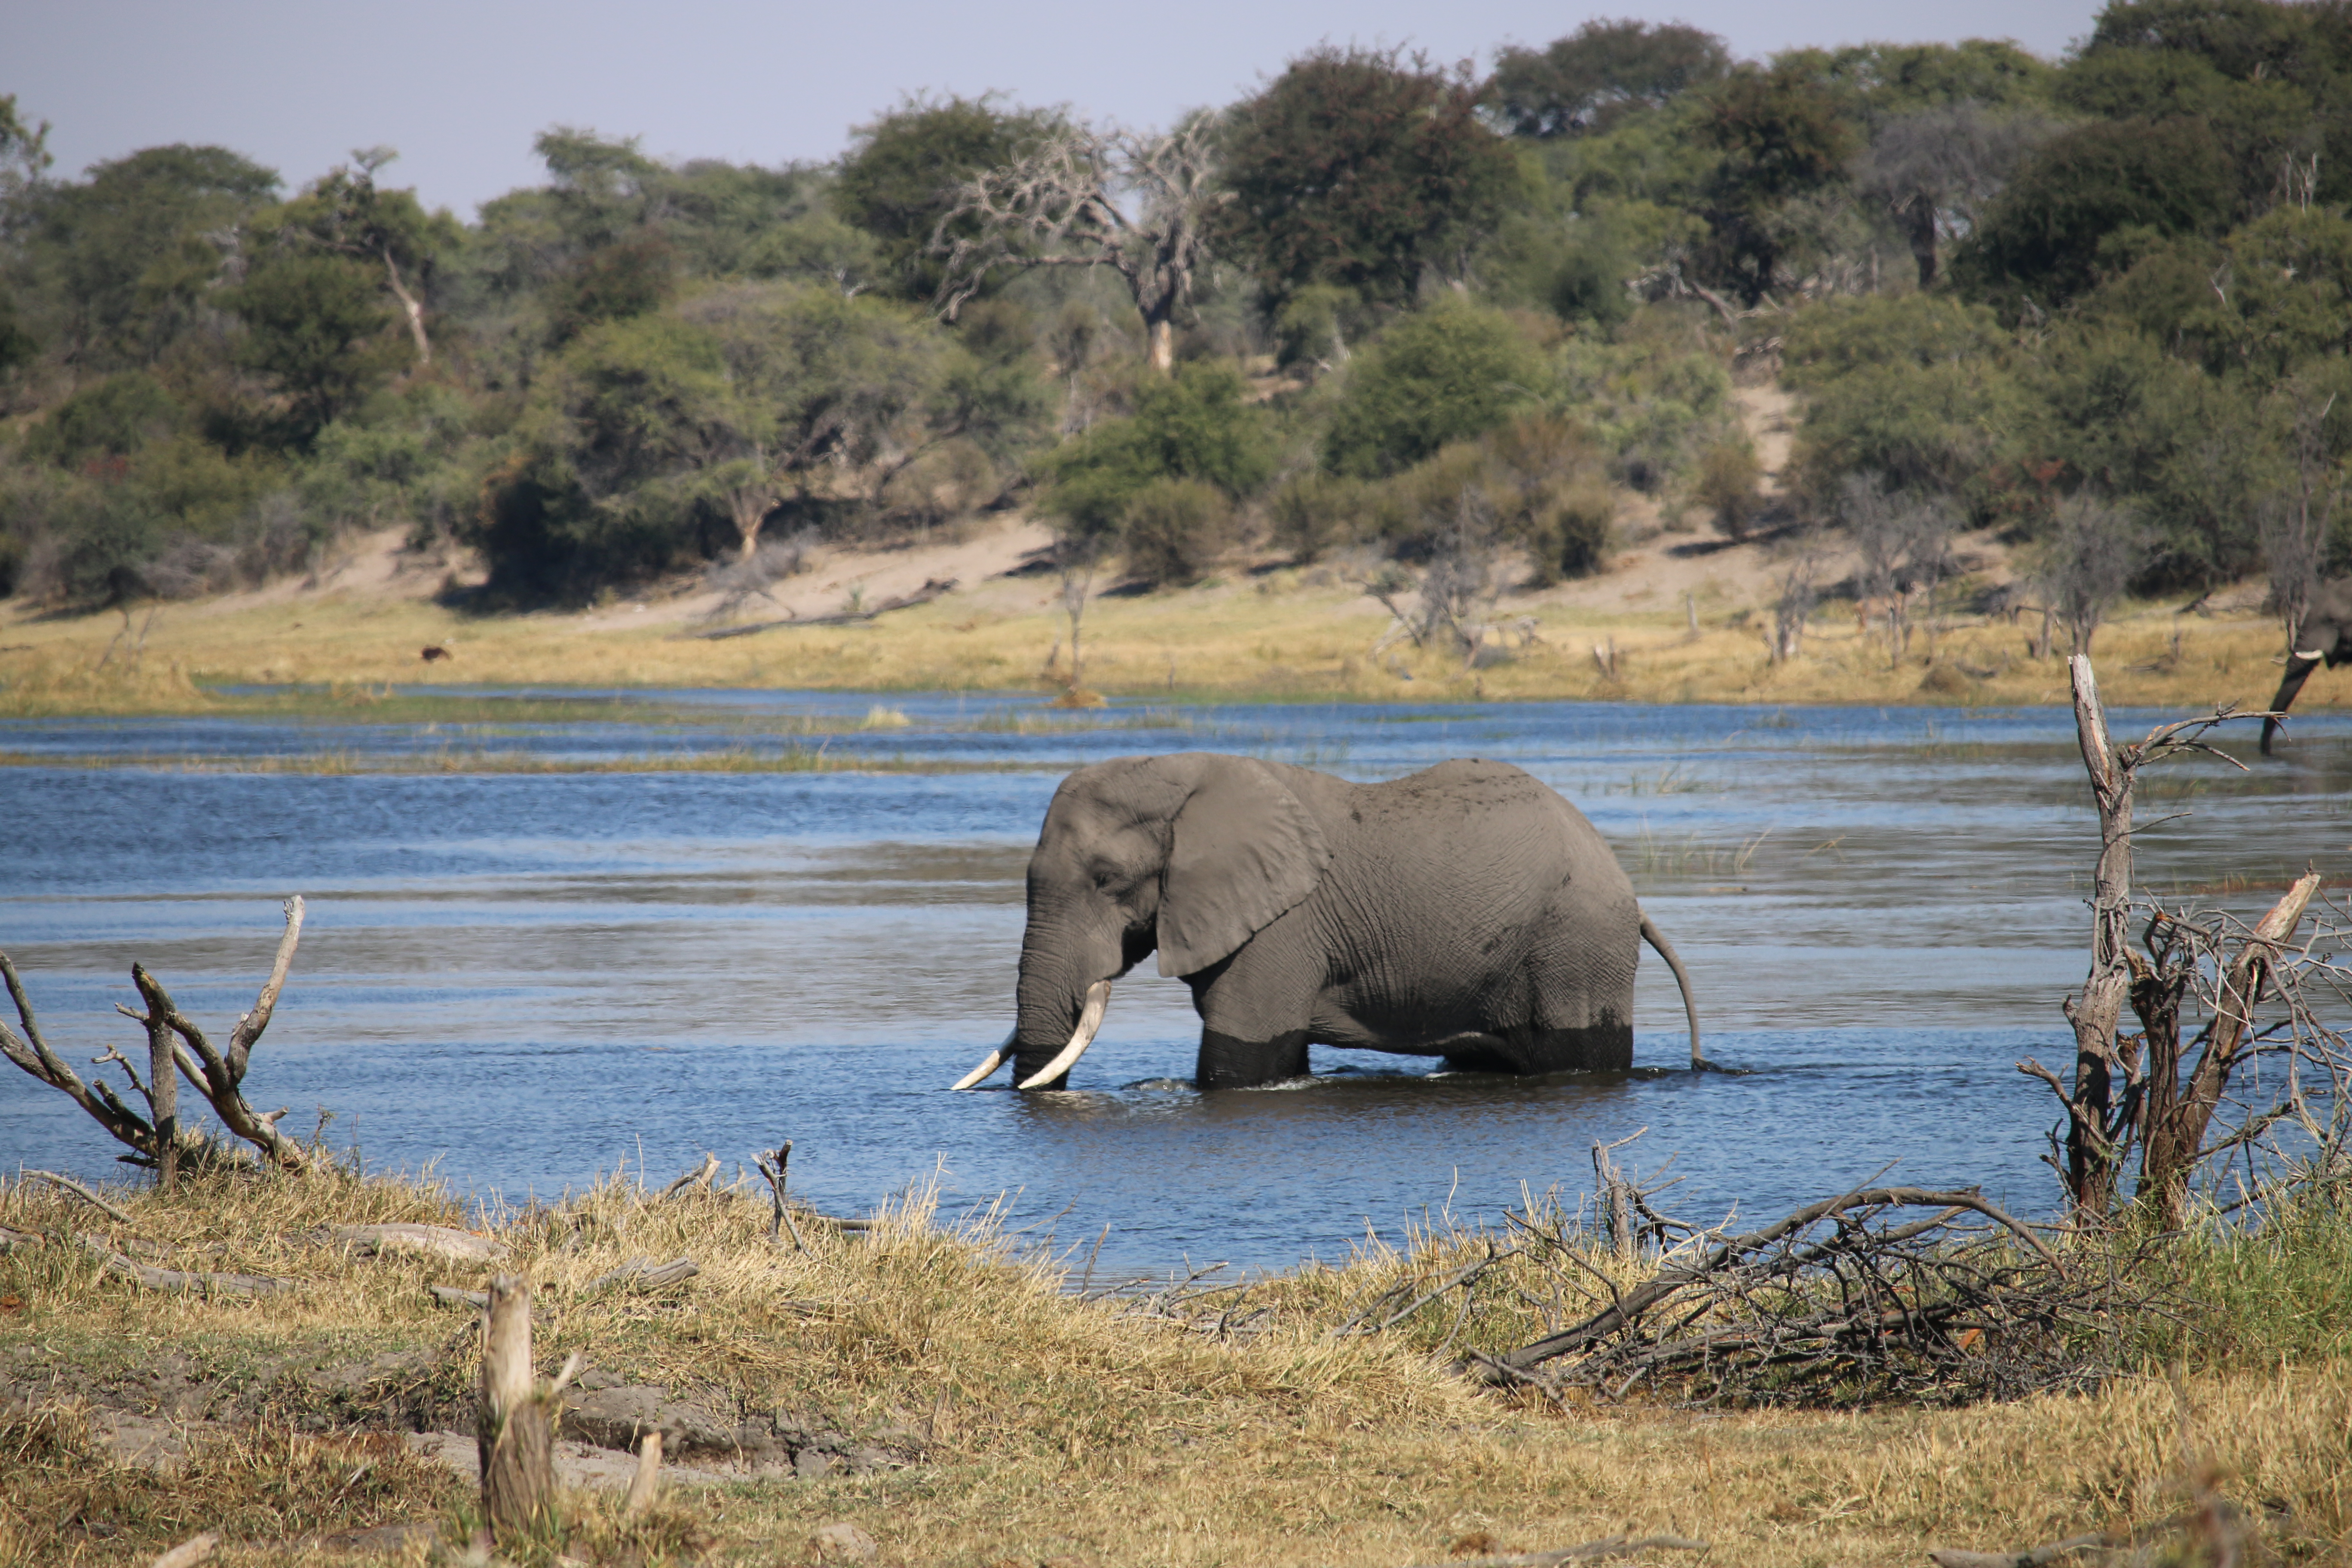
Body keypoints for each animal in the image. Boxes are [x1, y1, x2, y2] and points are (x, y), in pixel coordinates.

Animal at [945, 752, 1703, 1100]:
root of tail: (1630, 892)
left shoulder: (1283, 927)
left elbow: (1240, 1061)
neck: (1184, 776)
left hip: (1576, 947)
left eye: (1106, 880)